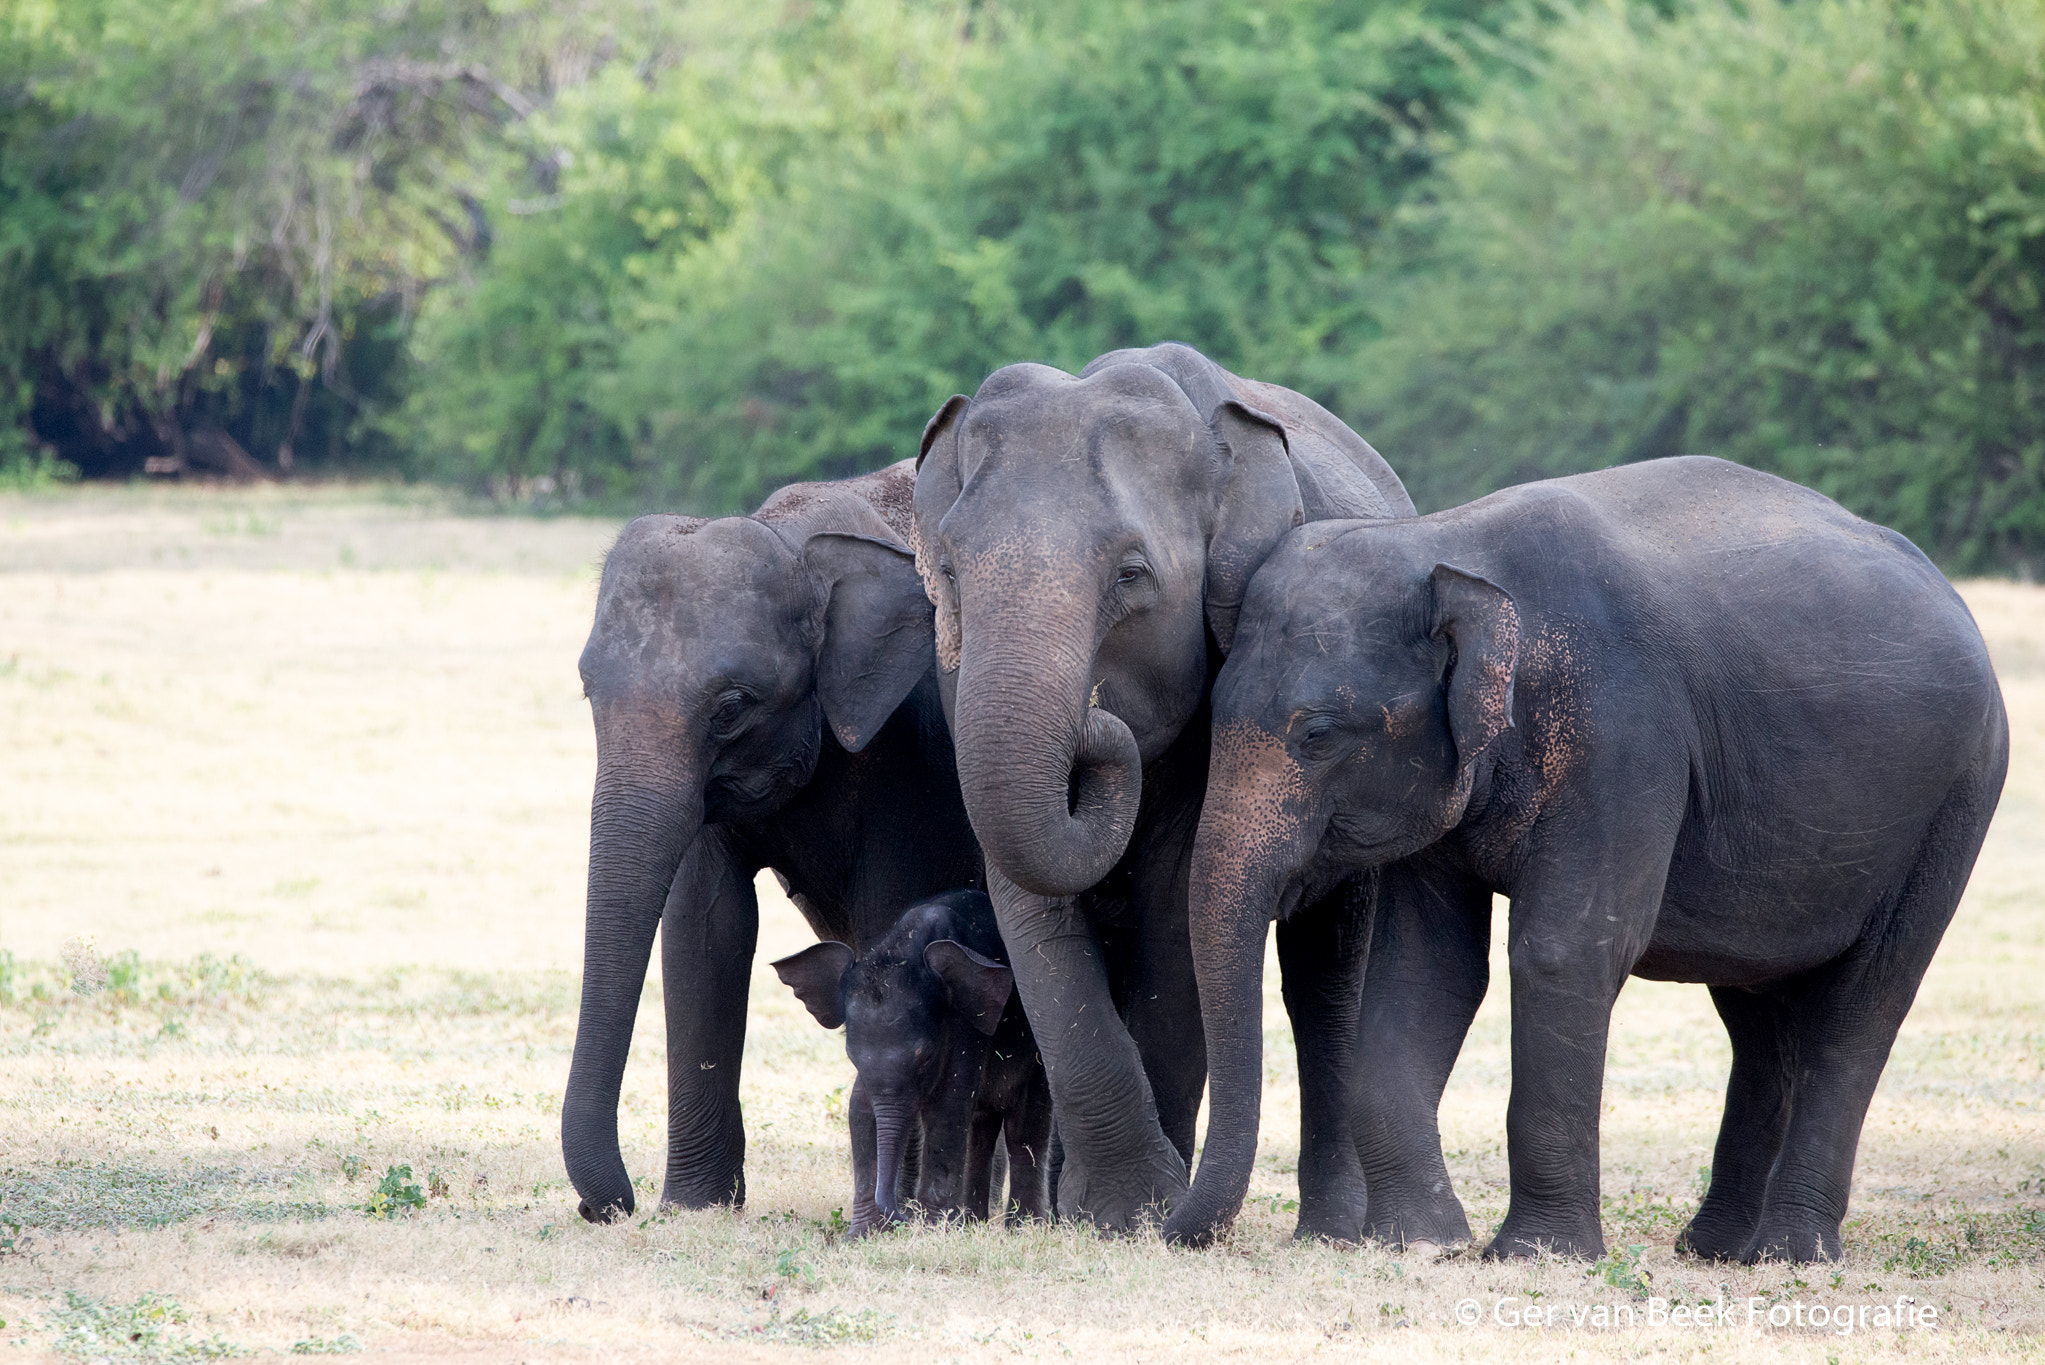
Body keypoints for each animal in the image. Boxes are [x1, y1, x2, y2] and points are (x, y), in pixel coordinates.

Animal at [562, 461, 983, 1223]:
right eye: (587, 692)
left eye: (731, 708)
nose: (607, 1207)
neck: (795, 543)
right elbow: (708, 923)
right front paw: (695, 1209)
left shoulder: (912, 749)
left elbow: (891, 914)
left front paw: (894, 1213)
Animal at [773, 889, 1052, 1234]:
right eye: (851, 1056)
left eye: (926, 1057)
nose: (904, 1217)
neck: (906, 948)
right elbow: (860, 1110)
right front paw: (861, 1235)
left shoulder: (966, 1025)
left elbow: (947, 1106)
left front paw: (933, 1230)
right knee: (982, 1129)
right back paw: (972, 1223)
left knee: (1024, 1128)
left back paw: (1022, 1229)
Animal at [912, 341, 1414, 1231]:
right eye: (948, 571)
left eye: (1132, 574)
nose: (1092, 720)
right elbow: (1028, 899)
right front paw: (1106, 1208)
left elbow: (1173, 909)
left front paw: (1137, 1213)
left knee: (1322, 979)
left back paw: (1329, 1226)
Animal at [1167, 456, 2009, 1262]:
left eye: (1317, 734)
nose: (1169, 1230)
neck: (1445, 544)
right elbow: (1425, 970)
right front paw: (1423, 1242)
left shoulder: (1623, 736)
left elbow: (1564, 950)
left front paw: (1535, 1255)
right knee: (1757, 1014)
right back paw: (1718, 1249)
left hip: (1956, 801)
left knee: (1859, 1005)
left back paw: (1791, 1254)